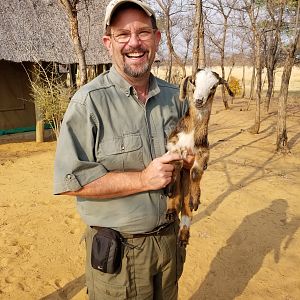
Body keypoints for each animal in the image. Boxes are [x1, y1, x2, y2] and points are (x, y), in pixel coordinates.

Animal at [165, 69, 233, 247]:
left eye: (214, 86)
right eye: (193, 81)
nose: (198, 100)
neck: (192, 131)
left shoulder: (204, 152)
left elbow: (196, 172)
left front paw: (196, 199)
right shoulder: (172, 146)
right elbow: (174, 166)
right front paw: (170, 188)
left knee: (186, 211)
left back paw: (183, 236)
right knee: (176, 195)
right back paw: (170, 210)